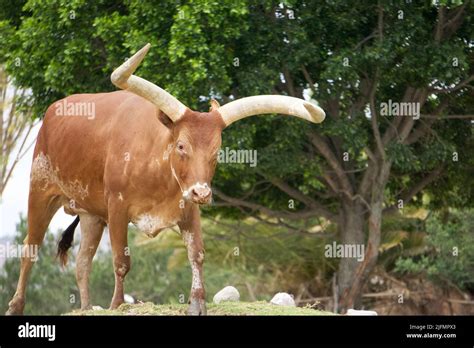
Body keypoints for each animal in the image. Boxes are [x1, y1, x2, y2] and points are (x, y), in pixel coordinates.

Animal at [6, 43, 326, 316]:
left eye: (217, 151)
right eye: (182, 145)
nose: (203, 193)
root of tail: (54, 110)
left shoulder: (188, 207)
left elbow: (196, 254)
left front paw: (197, 304)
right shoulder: (117, 207)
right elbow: (121, 261)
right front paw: (117, 304)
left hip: (91, 214)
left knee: (83, 262)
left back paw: (85, 308)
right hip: (41, 190)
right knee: (30, 249)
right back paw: (16, 305)